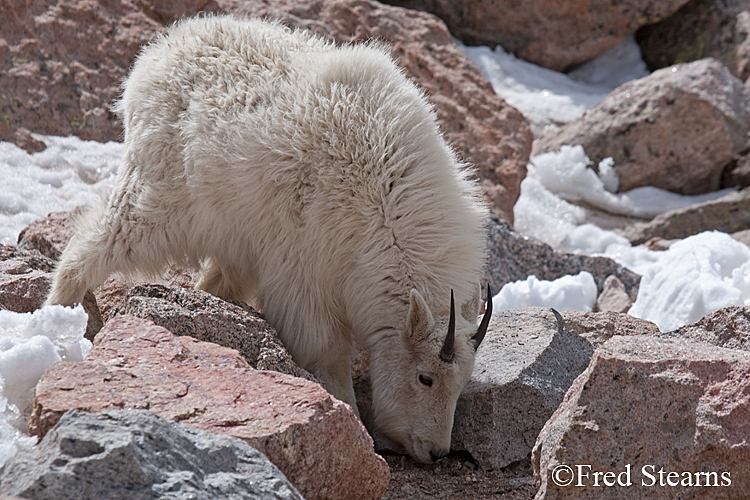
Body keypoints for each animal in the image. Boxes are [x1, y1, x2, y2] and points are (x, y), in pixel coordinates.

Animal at [47, 13, 494, 462]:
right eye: (425, 378)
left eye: (460, 384)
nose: (436, 451)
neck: (387, 211)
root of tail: (157, 53)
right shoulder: (305, 271)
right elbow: (326, 352)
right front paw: (350, 422)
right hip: (159, 198)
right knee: (95, 244)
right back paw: (57, 315)